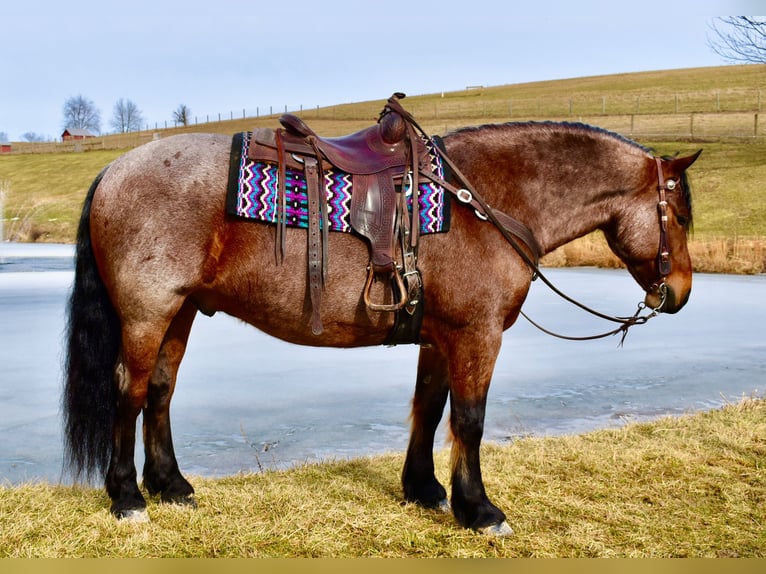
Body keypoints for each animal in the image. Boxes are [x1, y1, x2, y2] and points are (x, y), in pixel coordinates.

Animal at [63, 115, 700, 536]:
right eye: (680, 214)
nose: (680, 294)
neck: (483, 201)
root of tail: (114, 169)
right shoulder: (476, 335)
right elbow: (469, 421)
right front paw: (480, 510)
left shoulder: (442, 338)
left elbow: (431, 408)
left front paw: (425, 491)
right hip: (147, 313)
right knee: (130, 391)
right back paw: (127, 498)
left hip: (181, 312)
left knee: (160, 392)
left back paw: (171, 486)